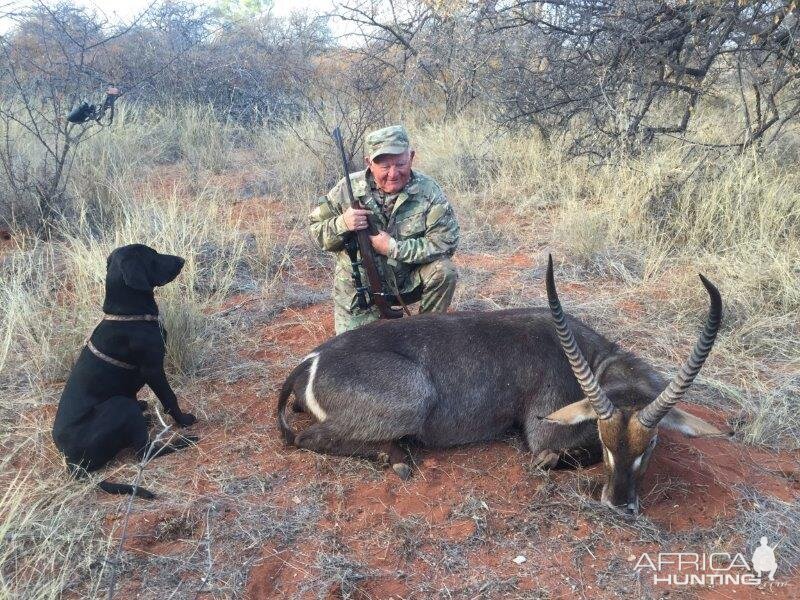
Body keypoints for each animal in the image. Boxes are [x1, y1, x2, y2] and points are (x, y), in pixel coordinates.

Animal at [52, 243, 198, 496]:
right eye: (153, 256)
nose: (181, 260)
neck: (128, 315)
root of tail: (72, 462)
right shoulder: (153, 369)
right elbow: (170, 397)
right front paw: (183, 420)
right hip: (120, 405)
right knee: (143, 451)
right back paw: (182, 442)